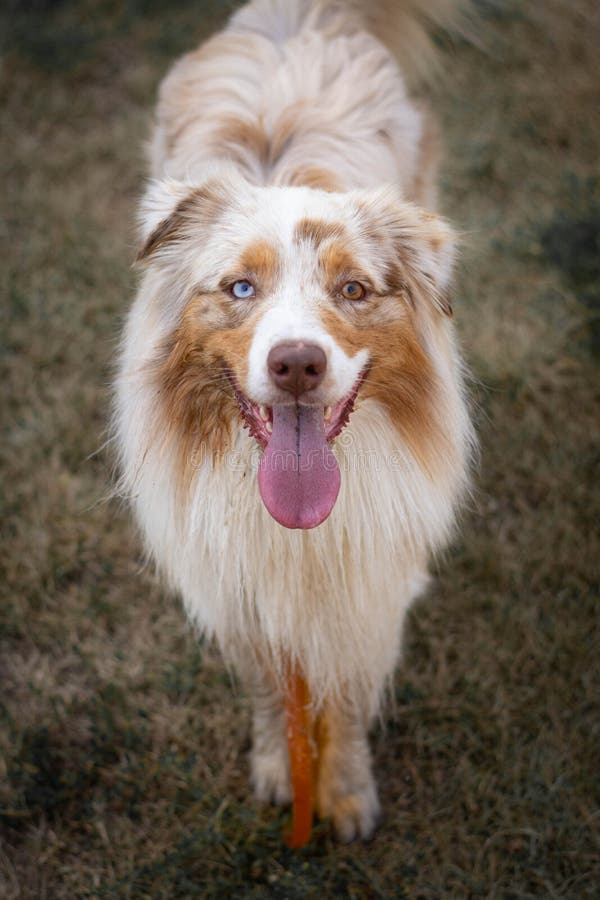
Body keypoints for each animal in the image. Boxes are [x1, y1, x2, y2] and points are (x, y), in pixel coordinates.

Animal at [115, 0, 476, 844]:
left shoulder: (373, 581)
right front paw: (282, 765)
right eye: (240, 287)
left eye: (353, 289)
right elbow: (267, 685)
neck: (297, 532)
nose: (298, 365)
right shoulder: (233, 579)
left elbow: (344, 693)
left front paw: (342, 789)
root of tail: (305, 9)